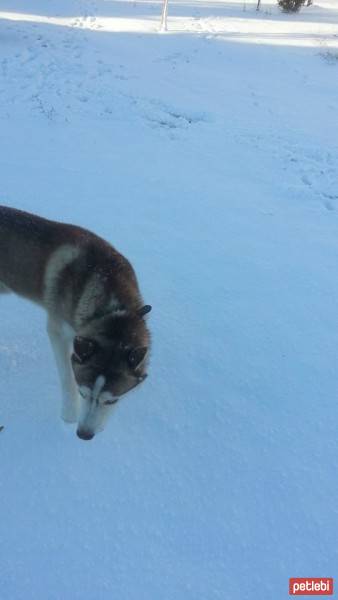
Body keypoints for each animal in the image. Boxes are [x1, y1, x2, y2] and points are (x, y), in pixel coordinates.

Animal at [0, 206, 151, 440]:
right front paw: (69, 416)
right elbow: (66, 377)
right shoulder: (58, 331)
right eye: (83, 392)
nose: (84, 435)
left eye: (111, 401)